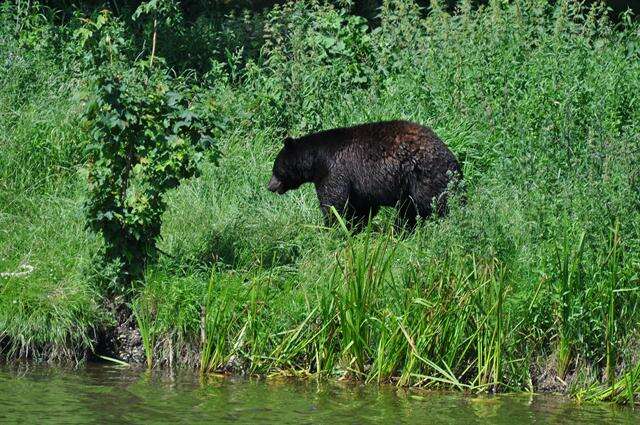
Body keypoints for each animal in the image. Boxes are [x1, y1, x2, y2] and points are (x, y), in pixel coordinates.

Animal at [268, 119, 462, 229]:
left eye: (275, 169)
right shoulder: (360, 186)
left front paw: (331, 227)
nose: (269, 186)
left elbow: (334, 202)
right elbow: (361, 207)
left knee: (432, 205)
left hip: (424, 177)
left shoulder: (335, 172)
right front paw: (355, 227)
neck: (316, 160)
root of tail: (452, 160)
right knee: (409, 210)